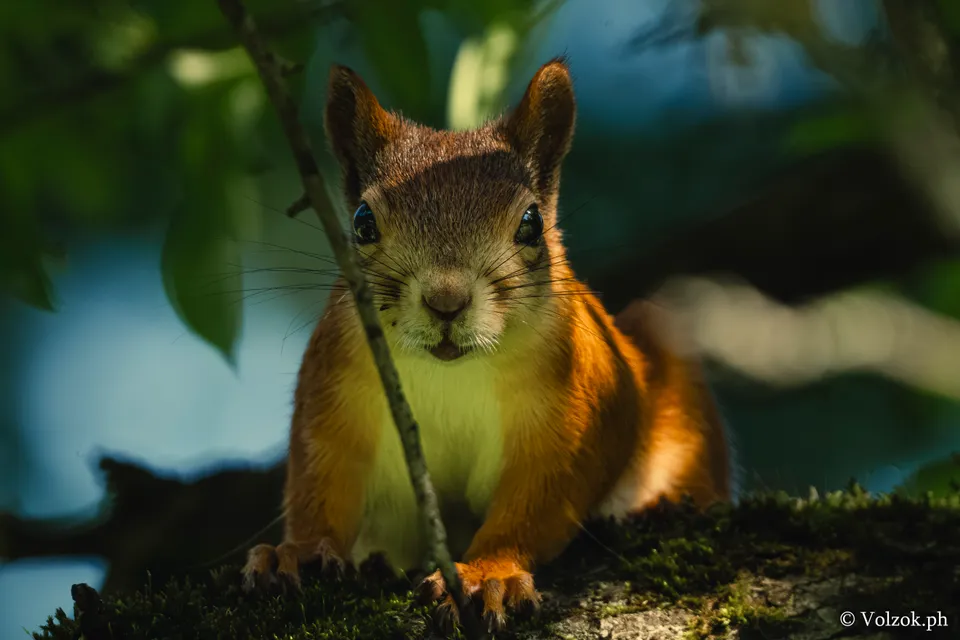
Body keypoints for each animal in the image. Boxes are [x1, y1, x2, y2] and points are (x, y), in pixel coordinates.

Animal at [242, 57, 734, 631]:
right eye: (362, 222)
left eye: (531, 223)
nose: (446, 300)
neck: (451, 371)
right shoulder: (335, 386)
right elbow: (321, 474)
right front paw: (297, 552)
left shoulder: (578, 402)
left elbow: (541, 497)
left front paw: (487, 572)